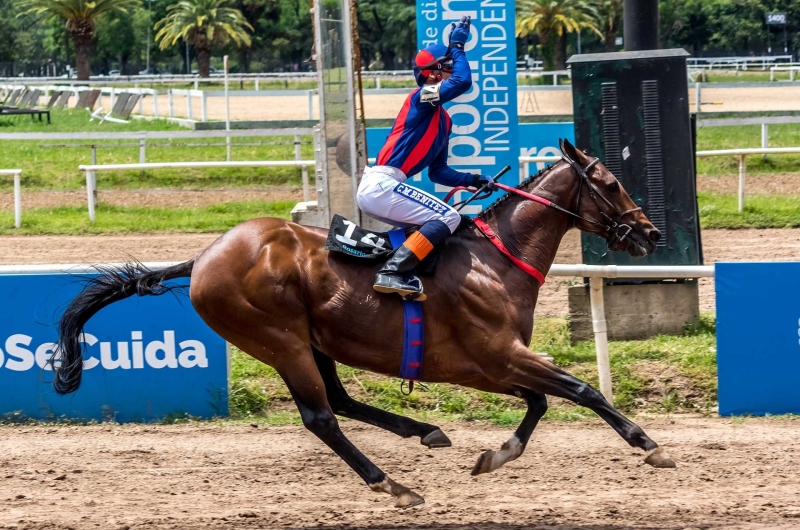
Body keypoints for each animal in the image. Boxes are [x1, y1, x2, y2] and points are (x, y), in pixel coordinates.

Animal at [53, 139, 672, 508]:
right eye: (610, 184)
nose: (651, 233)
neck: (496, 261)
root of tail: (203, 257)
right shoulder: (497, 355)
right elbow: (581, 389)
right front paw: (649, 444)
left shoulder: (486, 365)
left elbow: (541, 401)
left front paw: (494, 456)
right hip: (279, 341)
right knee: (321, 417)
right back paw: (391, 482)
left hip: (313, 341)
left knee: (341, 401)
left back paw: (423, 432)